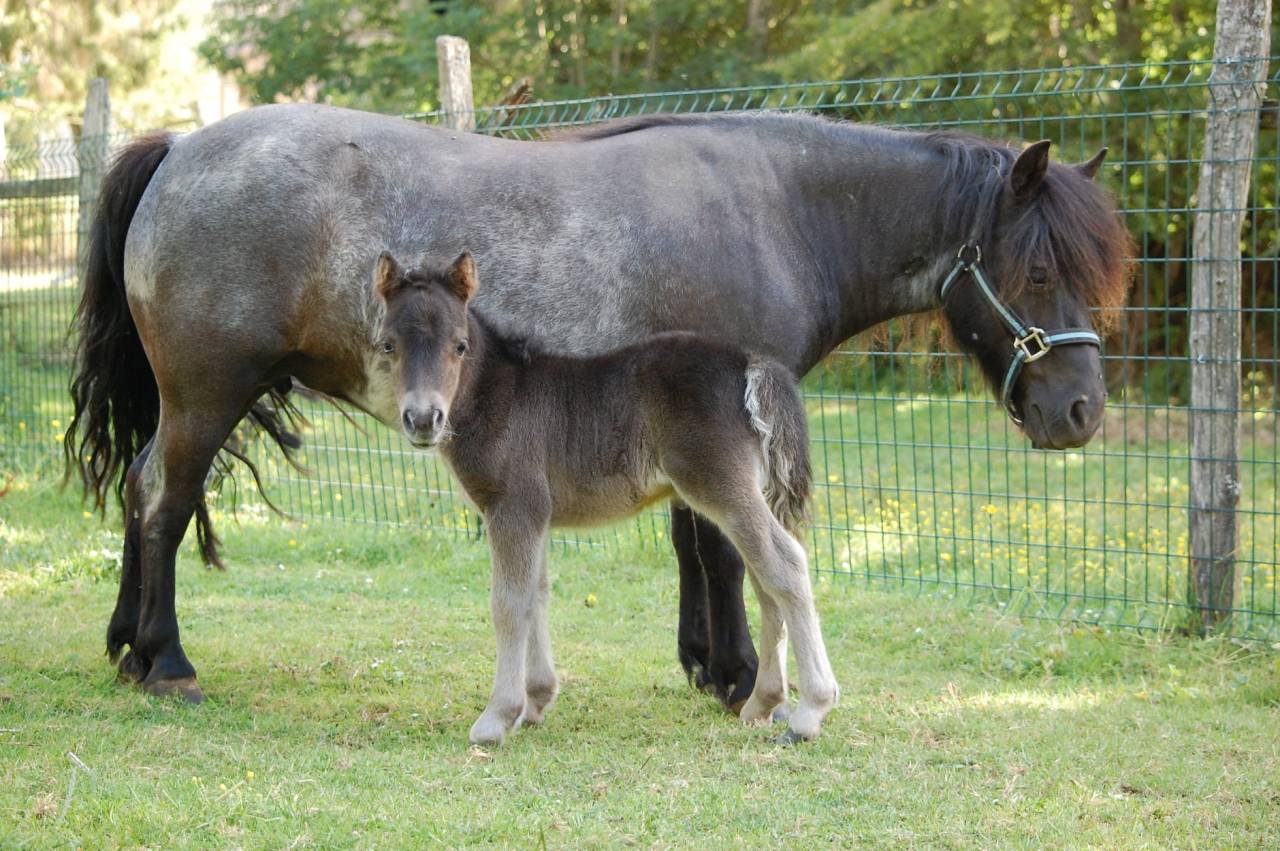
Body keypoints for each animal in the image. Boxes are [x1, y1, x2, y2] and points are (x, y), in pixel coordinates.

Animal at [369, 249, 836, 744]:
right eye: (388, 345)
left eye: (459, 345)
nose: (423, 419)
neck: (499, 398)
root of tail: (750, 362)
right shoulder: (536, 516)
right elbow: (536, 595)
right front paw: (535, 702)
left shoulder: (512, 507)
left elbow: (508, 603)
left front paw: (496, 717)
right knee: (766, 580)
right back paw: (763, 702)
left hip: (721, 486)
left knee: (785, 565)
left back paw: (810, 711)